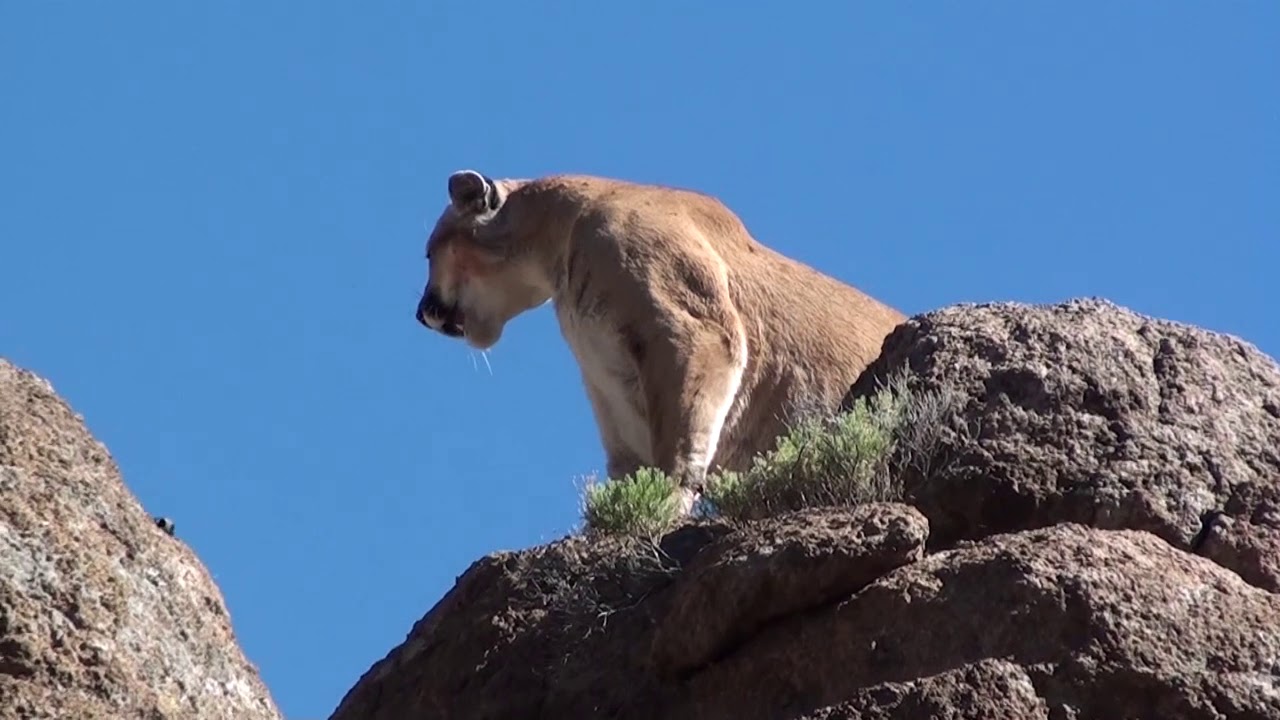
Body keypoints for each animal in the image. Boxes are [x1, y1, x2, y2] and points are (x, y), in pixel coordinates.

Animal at [416, 170, 907, 512]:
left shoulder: (692, 330)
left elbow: (681, 437)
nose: (421, 313)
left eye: (428, 251)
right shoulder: (612, 391)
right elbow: (628, 465)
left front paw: (663, 503)